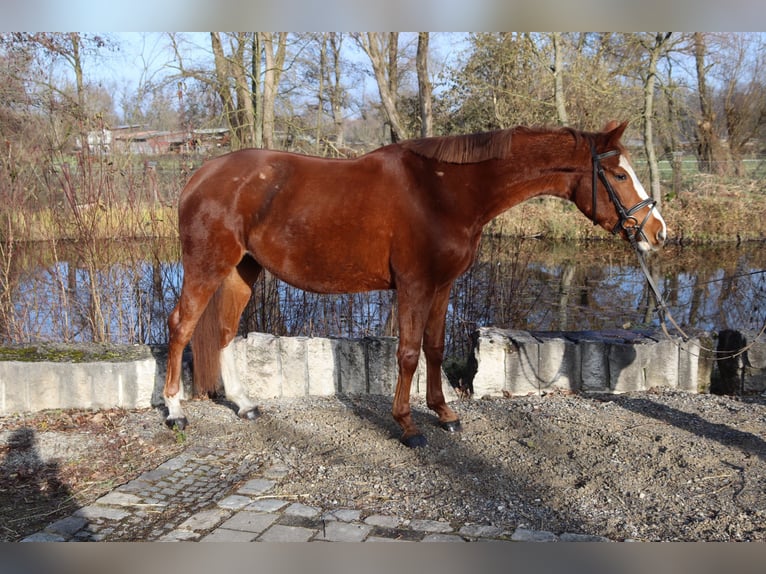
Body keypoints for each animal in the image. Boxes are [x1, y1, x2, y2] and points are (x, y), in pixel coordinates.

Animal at [162, 119, 664, 448]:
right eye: (619, 174)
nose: (657, 232)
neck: (444, 191)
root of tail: (198, 175)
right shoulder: (414, 286)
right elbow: (406, 354)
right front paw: (406, 424)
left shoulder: (441, 287)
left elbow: (435, 348)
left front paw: (445, 414)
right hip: (207, 266)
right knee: (182, 325)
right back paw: (175, 411)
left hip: (242, 270)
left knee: (224, 332)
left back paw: (243, 403)